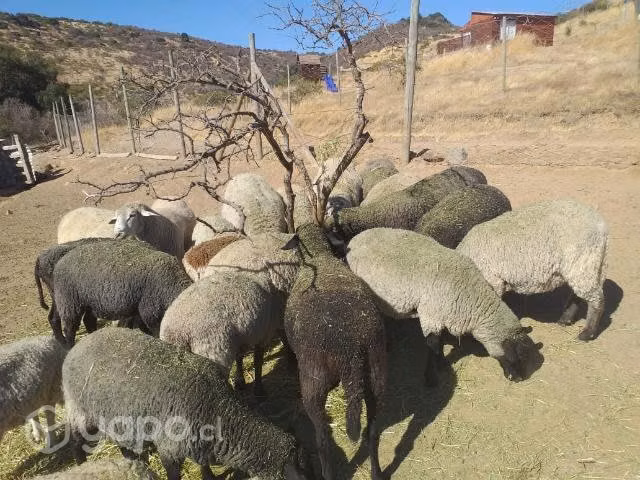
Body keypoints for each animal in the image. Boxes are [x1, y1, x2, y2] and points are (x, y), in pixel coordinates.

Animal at [51, 238, 192, 346]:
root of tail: (59, 263)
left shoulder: (139, 310)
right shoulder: (150, 312)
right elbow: (155, 332)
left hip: (89, 301)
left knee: (88, 321)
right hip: (69, 300)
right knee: (69, 327)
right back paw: (69, 346)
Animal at [63, 327, 310, 480]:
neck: (217, 408)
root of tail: (78, 346)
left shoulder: (199, 442)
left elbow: (203, 464)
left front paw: (210, 477)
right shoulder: (169, 448)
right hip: (80, 409)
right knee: (75, 439)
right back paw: (80, 464)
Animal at [284, 223, 387, 480]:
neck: (320, 257)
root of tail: (349, 349)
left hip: (314, 384)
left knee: (322, 441)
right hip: (377, 373)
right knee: (372, 431)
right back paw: (376, 473)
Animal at [346, 228, 540, 384]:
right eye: (514, 354)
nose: (519, 379)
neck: (469, 294)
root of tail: (356, 237)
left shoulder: (442, 315)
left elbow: (439, 343)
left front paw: (441, 365)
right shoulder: (431, 315)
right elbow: (433, 344)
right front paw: (431, 377)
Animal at [456, 199, 608, 341]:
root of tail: (601, 225)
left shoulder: (492, 281)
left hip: (584, 260)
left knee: (597, 299)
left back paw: (587, 333)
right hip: (584, 265)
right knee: (578, 294)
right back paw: (566, 319)